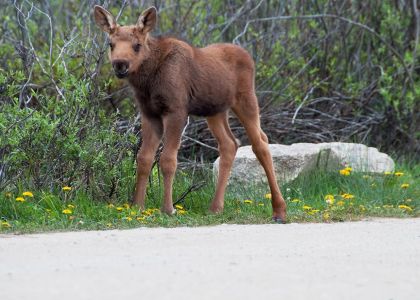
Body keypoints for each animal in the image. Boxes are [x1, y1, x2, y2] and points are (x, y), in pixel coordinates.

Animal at [94, 5, 288, 223]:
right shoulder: (149, 113)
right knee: (230, 144)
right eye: (111, 44)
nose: (120, 64)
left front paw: (168, 208)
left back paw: (279, 210)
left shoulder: (176, 110)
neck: (147, 82)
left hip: (246, 100)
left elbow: (168, 160)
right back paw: (216, 207)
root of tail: (249, 56)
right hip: (215, 111)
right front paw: (137, 206)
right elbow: (144, 158)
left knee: (260, 143)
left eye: (137, 45)